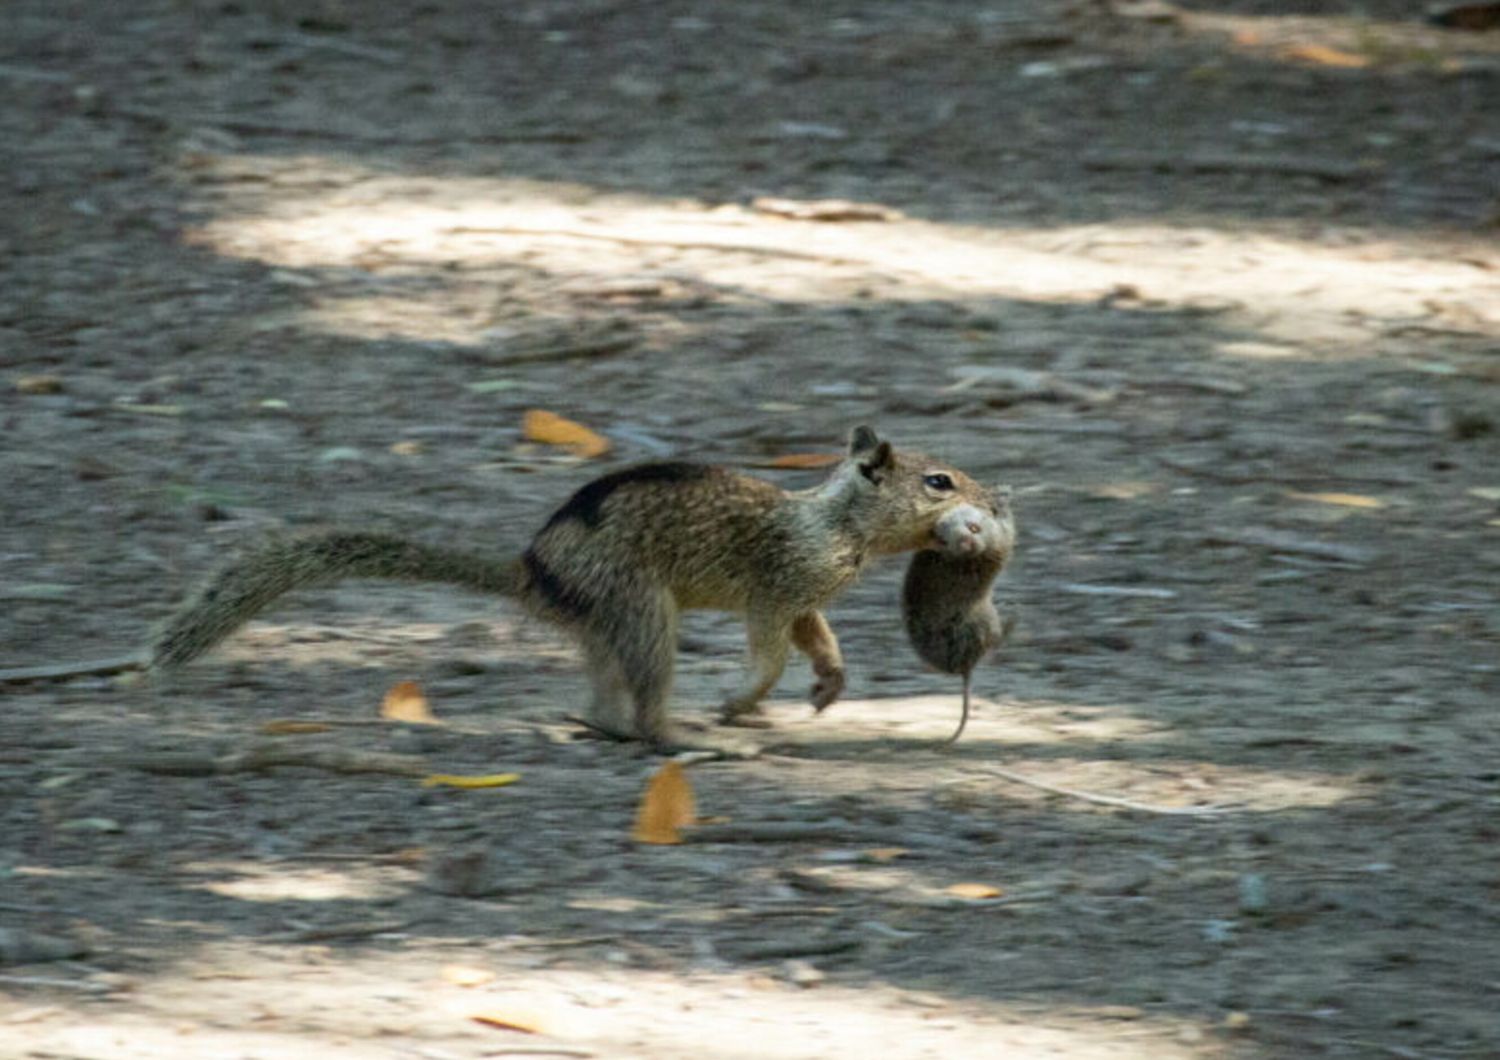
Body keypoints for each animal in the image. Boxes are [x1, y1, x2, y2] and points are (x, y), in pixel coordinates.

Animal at [152, 425, 996, 749]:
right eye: (938, 481)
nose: (991, 500)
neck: (838, 523)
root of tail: (530, 571)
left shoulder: (806, 598)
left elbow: (818, 638)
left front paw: (828, 685)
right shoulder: (778, 585)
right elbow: (770, 650)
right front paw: (743, 698)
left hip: (607, 624)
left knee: (605, 694)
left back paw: (602, 724)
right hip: (643, 610)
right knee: (648, 701)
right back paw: (680, 736)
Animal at [900, 491, 1020, 746]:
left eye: (973, 527)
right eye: (944, 540)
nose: (966, 543)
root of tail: (965, 666)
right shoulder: (1002, 540)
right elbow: (1008, 523)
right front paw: (1002, 497)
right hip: (986, 620)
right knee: (996, 640)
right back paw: (1014, 614)